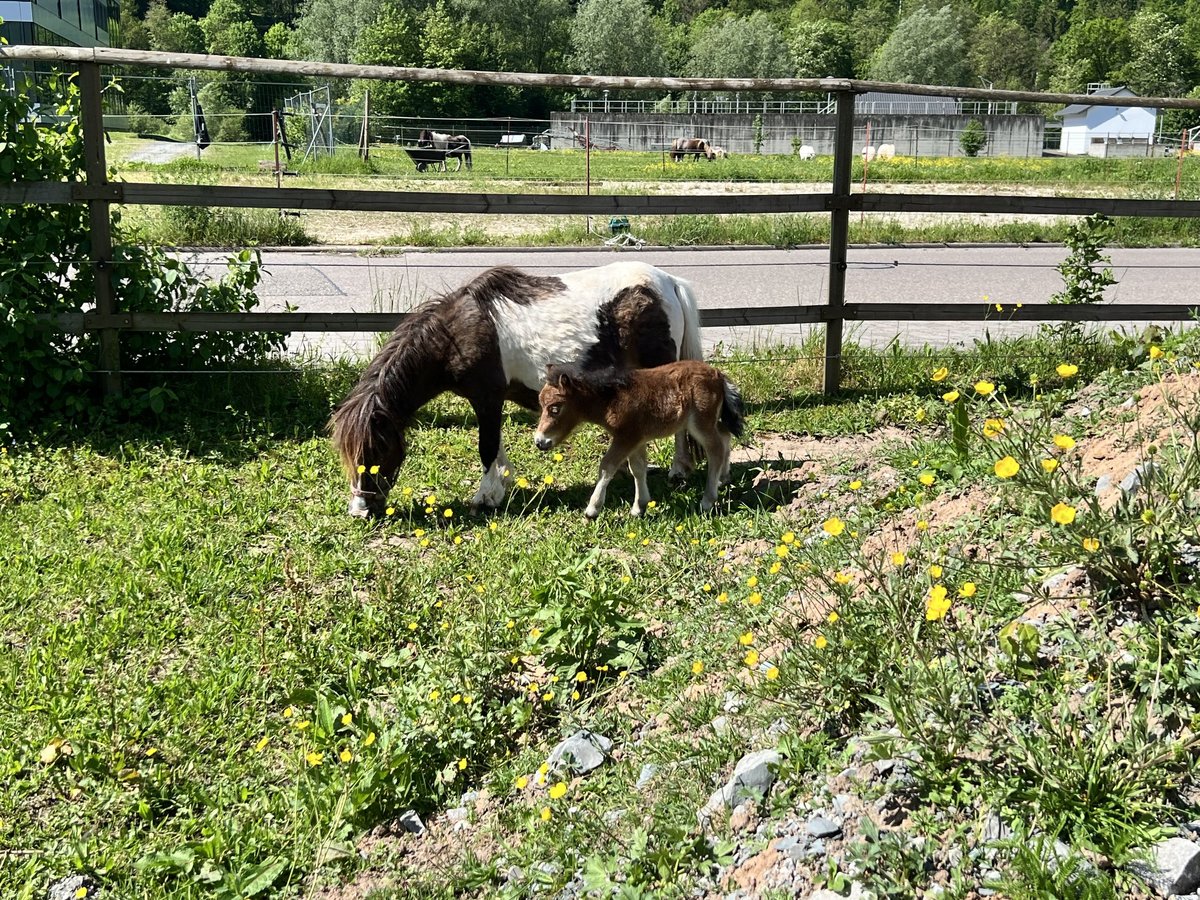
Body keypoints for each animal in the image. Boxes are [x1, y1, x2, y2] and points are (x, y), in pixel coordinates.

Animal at [328, 260, 700, 518]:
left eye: (376, 450)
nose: (360, 511)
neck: (457, 334)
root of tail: (670, 283)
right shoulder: (489, 402)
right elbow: (496, 448)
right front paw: (503, 484)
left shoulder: (487, 399)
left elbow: (487, 448)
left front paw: (485, 497)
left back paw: (678, 471)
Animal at [535, 362, 739, 520]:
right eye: (541, 405)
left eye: (555, 408)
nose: (540, 441)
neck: (612, 399)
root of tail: (718, 374)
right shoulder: (637, 439)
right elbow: (638, 469)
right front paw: (639, 507)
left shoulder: (626, 438)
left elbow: (607, 466)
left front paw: (592, 510)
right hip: (710, 421)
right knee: (725, 435)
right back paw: (723, 478)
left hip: (700, 422)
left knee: (716, 449)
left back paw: (707, 501)